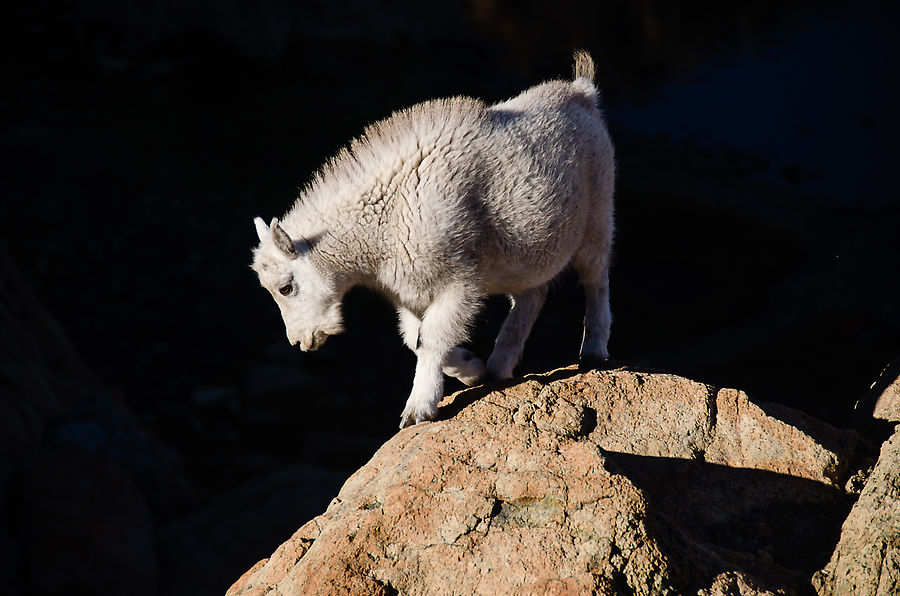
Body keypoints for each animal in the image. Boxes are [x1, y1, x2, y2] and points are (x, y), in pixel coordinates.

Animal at [256, 49, 616, 426]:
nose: (300, 341)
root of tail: (582, 92)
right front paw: (472, 370)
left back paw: (593, 351)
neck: (381, 228)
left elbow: (431, 339)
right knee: (532, 295)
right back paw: (498, 365)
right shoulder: (411, 293)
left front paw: (418, 409)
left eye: (285, 287)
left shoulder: (458, 283)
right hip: (528, 254)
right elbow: (415, 340)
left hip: (598, 218)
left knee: (595, 279)